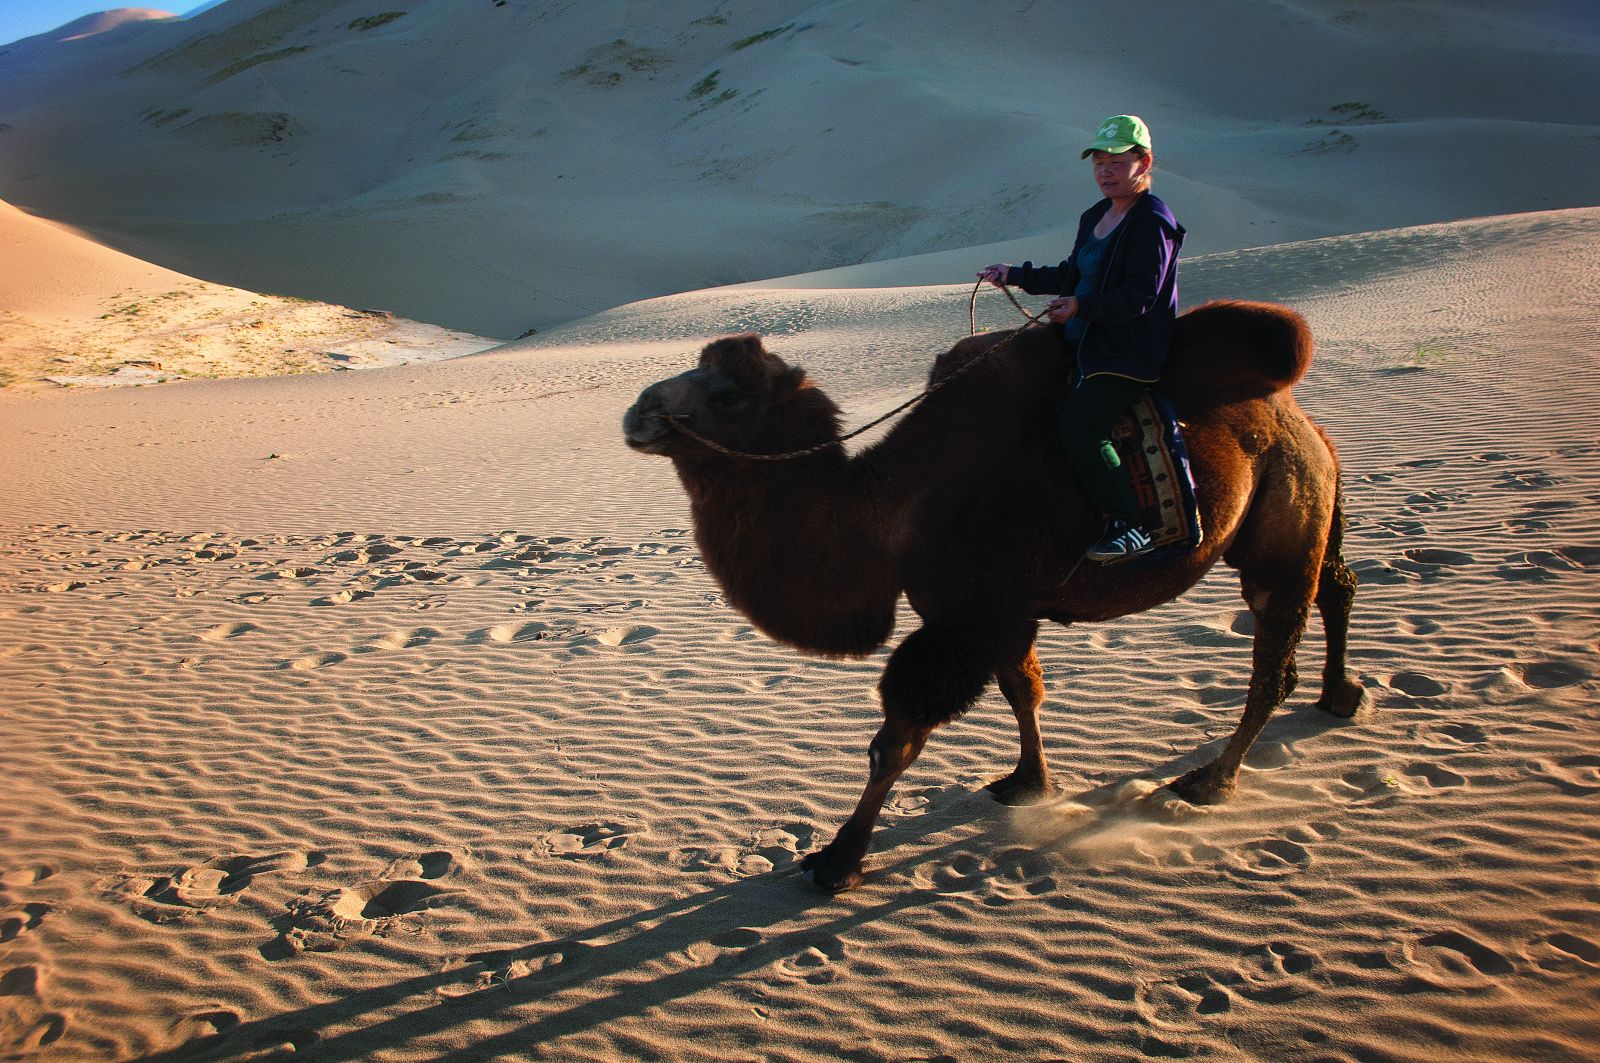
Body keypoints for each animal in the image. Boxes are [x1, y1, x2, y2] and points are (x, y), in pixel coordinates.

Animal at [620, 302, 1363, 890]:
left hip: (1279, 528)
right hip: (1303, 494)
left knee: (1273, 660)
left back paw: (1211, 781)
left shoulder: (968, 617)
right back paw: (1341, 695)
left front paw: (838, 859)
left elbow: (897, 739)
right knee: (1338, 584)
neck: (894, 508)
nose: (638, 412)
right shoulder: (1001, 612)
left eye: (727, 396)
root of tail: (1297, 417)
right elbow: (1021, 690)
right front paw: (1029, 783)